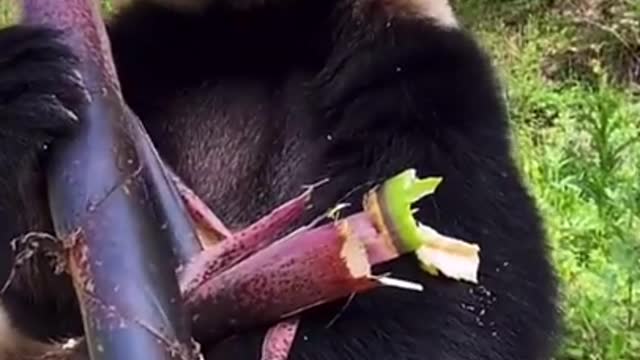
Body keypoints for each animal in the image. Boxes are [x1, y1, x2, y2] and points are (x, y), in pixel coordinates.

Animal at [0, 0, 560, 358]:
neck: (258, 36)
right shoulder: (137, 65)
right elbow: (52, 298)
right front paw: (25, 86)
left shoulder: (422, 86)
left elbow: (458, 304)